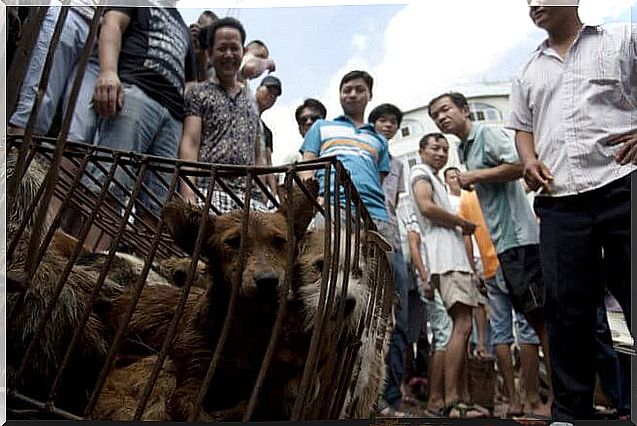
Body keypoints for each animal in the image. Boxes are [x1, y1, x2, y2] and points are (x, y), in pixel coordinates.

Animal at [92, 178, 320, 422]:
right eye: (233, 242)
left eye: (280, 241)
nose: (267, 281)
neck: (246, 323)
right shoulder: (189, 385)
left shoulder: (262, 382)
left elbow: (252, 404)